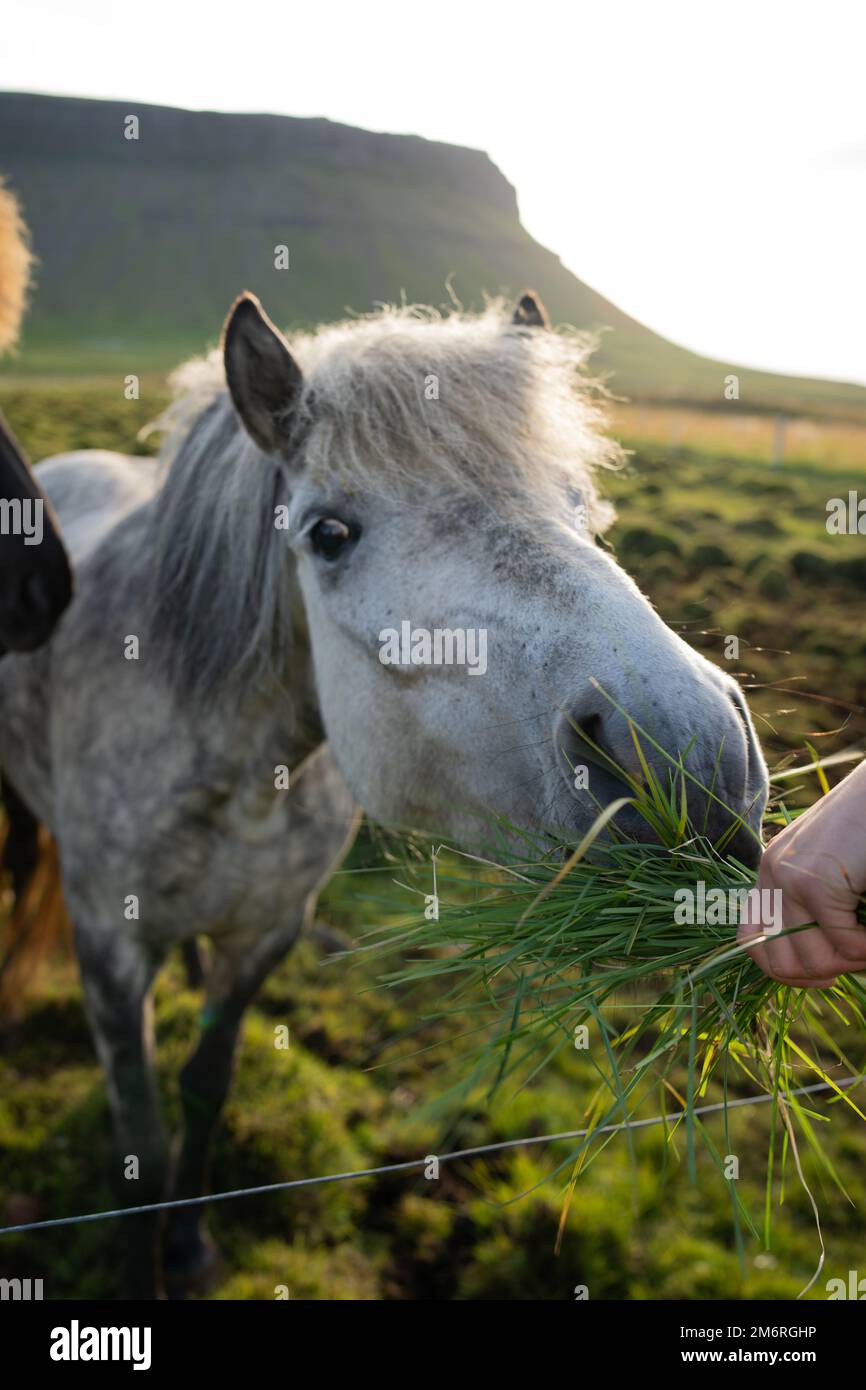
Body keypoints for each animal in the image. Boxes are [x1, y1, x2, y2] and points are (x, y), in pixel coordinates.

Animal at [0, 289, 769, 1297]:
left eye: (578, 503)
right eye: (327, 534)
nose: (692, 762)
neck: (238, 783)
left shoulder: (268, 931)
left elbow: (206, 1089)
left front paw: (189, 1245)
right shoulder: (107, 951)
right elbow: (140, 1144)